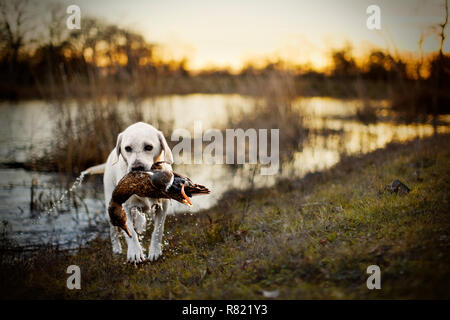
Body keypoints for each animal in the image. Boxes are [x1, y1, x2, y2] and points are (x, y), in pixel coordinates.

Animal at [81, 121, 173, 264]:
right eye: (128, 148)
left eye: (149, 147)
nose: (137, 167)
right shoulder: (123, 206)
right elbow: (130, 233)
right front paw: (135, 252)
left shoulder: (163, 205)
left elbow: (158, 229)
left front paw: (155, 251)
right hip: (110, 204)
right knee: (113, 230)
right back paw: (117, 249)